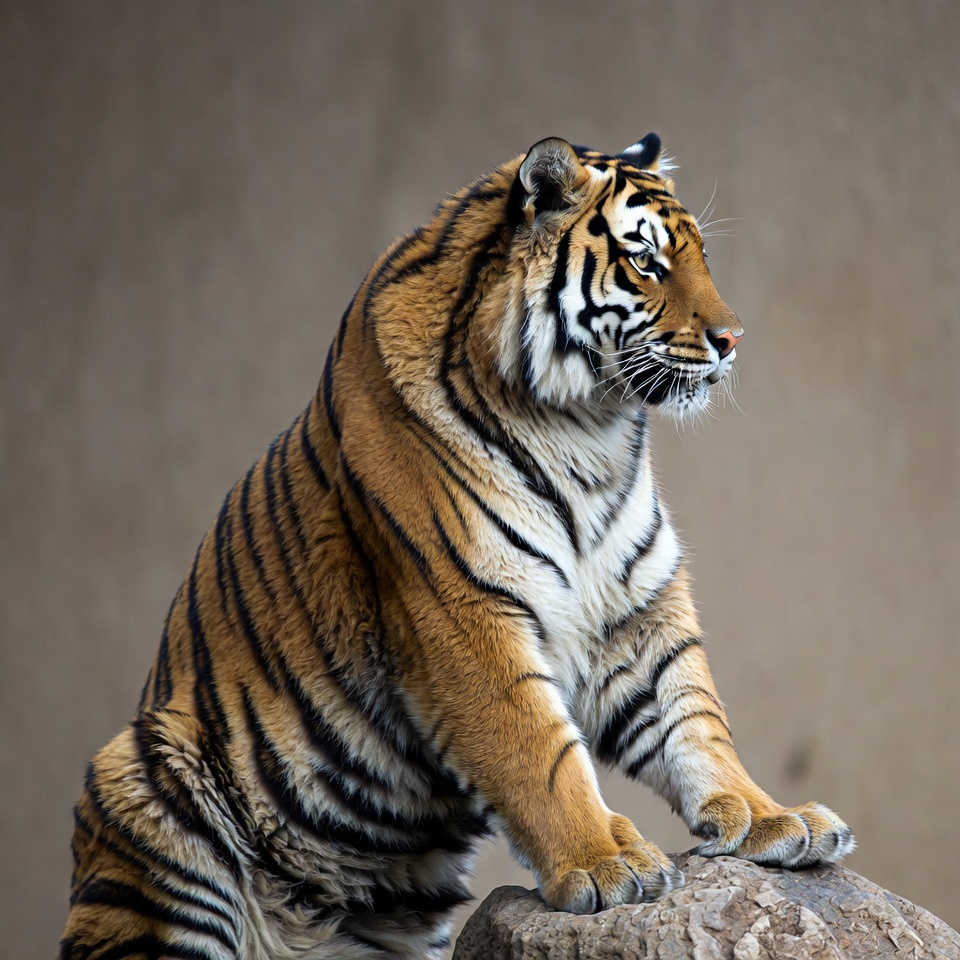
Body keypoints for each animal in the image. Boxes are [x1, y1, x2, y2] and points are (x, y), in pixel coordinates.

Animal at [61, 134, 855, 960]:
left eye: (700, 256)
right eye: (646, 262)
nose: (733, 341)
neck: (588, 431)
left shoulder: (635, 610)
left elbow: (695, 720)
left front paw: (771, 817)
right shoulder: (463, 613)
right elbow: (540, 754)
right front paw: (600, 863)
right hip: (141, 774)